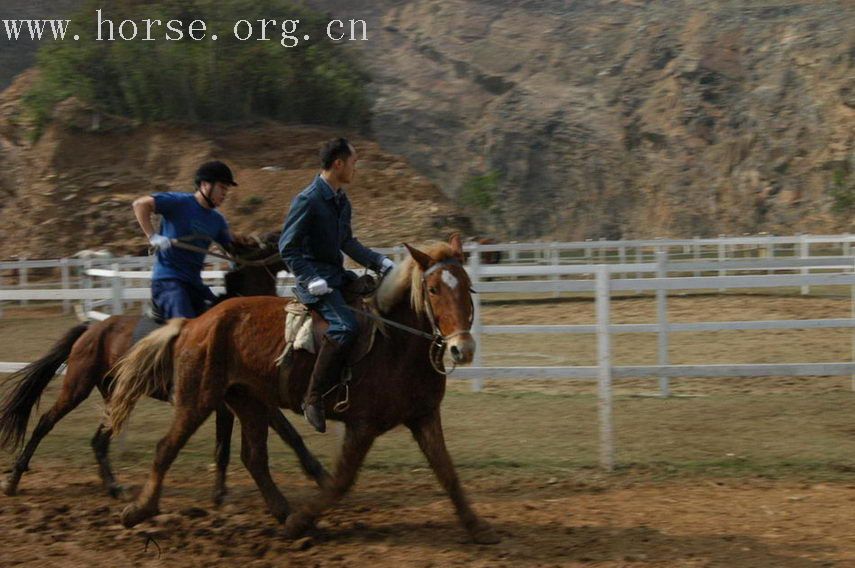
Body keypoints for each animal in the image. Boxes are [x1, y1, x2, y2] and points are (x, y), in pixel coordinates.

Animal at [0, 234, 328, 502]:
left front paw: (220, 493)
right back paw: (15, 478)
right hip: (77, 387)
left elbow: (224, 447)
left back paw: (114, 487)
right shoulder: (251, 399)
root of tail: (91, 329)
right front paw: (320, 474)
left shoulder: (232, 403)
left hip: (116, 395)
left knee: (99, 440)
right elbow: (286, 433)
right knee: (45, 423)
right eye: (267, 243)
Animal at [109, 233, 498, 544]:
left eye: (468, 286)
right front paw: (302, 520)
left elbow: (447, 472)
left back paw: (281, 510)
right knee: (167, 448)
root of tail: (193, 323)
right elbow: (341, 481)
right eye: (433, 289)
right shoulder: (363, 426)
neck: (395, 341)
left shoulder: (424, 417)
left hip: (249, 403)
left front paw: (477, 527)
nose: (461, 349)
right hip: (197, 400)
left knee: (254, 459)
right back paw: (139, 510)